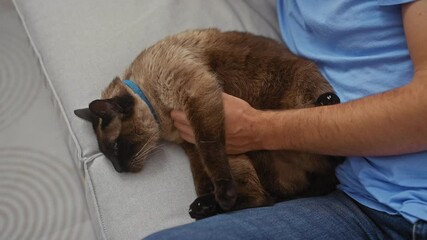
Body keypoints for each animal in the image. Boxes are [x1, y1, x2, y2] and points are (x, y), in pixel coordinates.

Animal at [75, 28, 344, 219]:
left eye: (116, 148)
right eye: (109, 155)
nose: (119, 169)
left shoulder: (199, 101)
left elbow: (211, 155)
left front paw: (222, 193)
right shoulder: (190, 143)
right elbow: (202, 176)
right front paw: (212, 197)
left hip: (302, 84)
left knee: (332, 155)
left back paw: (328, 101)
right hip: (244, 159)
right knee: (263, 197)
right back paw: (206, 207)